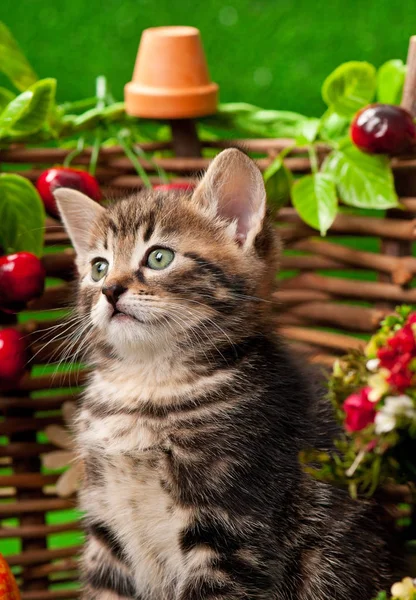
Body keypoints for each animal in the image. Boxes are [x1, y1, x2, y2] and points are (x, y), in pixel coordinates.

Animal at [55, 148, 394, 596]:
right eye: (98, 267)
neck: (148, 384)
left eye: (159, 257)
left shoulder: (234, 524)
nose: (110, 290)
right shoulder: (104, 524)